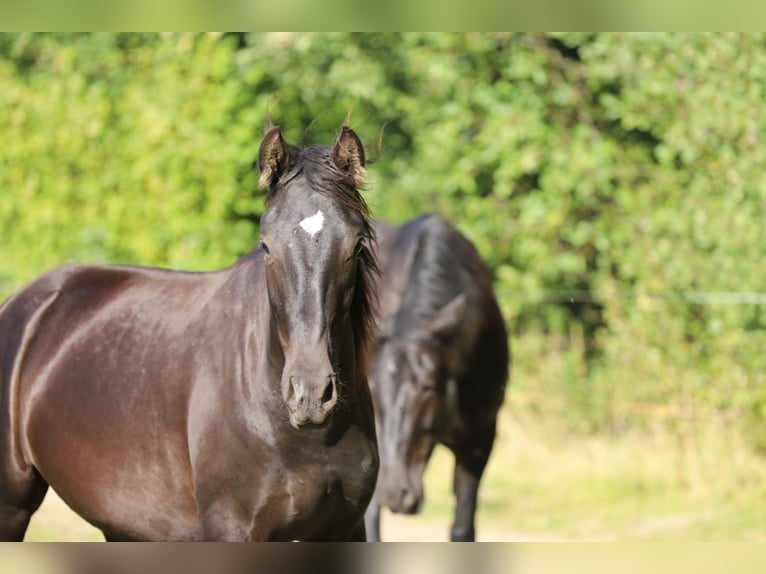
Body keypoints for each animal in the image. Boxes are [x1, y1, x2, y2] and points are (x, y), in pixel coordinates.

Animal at [0, 123, 379, 541]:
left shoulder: (348, 528)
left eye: (356, 247)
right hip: (12, 506)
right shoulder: (231, 529)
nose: (309, 393)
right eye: (266, 246)